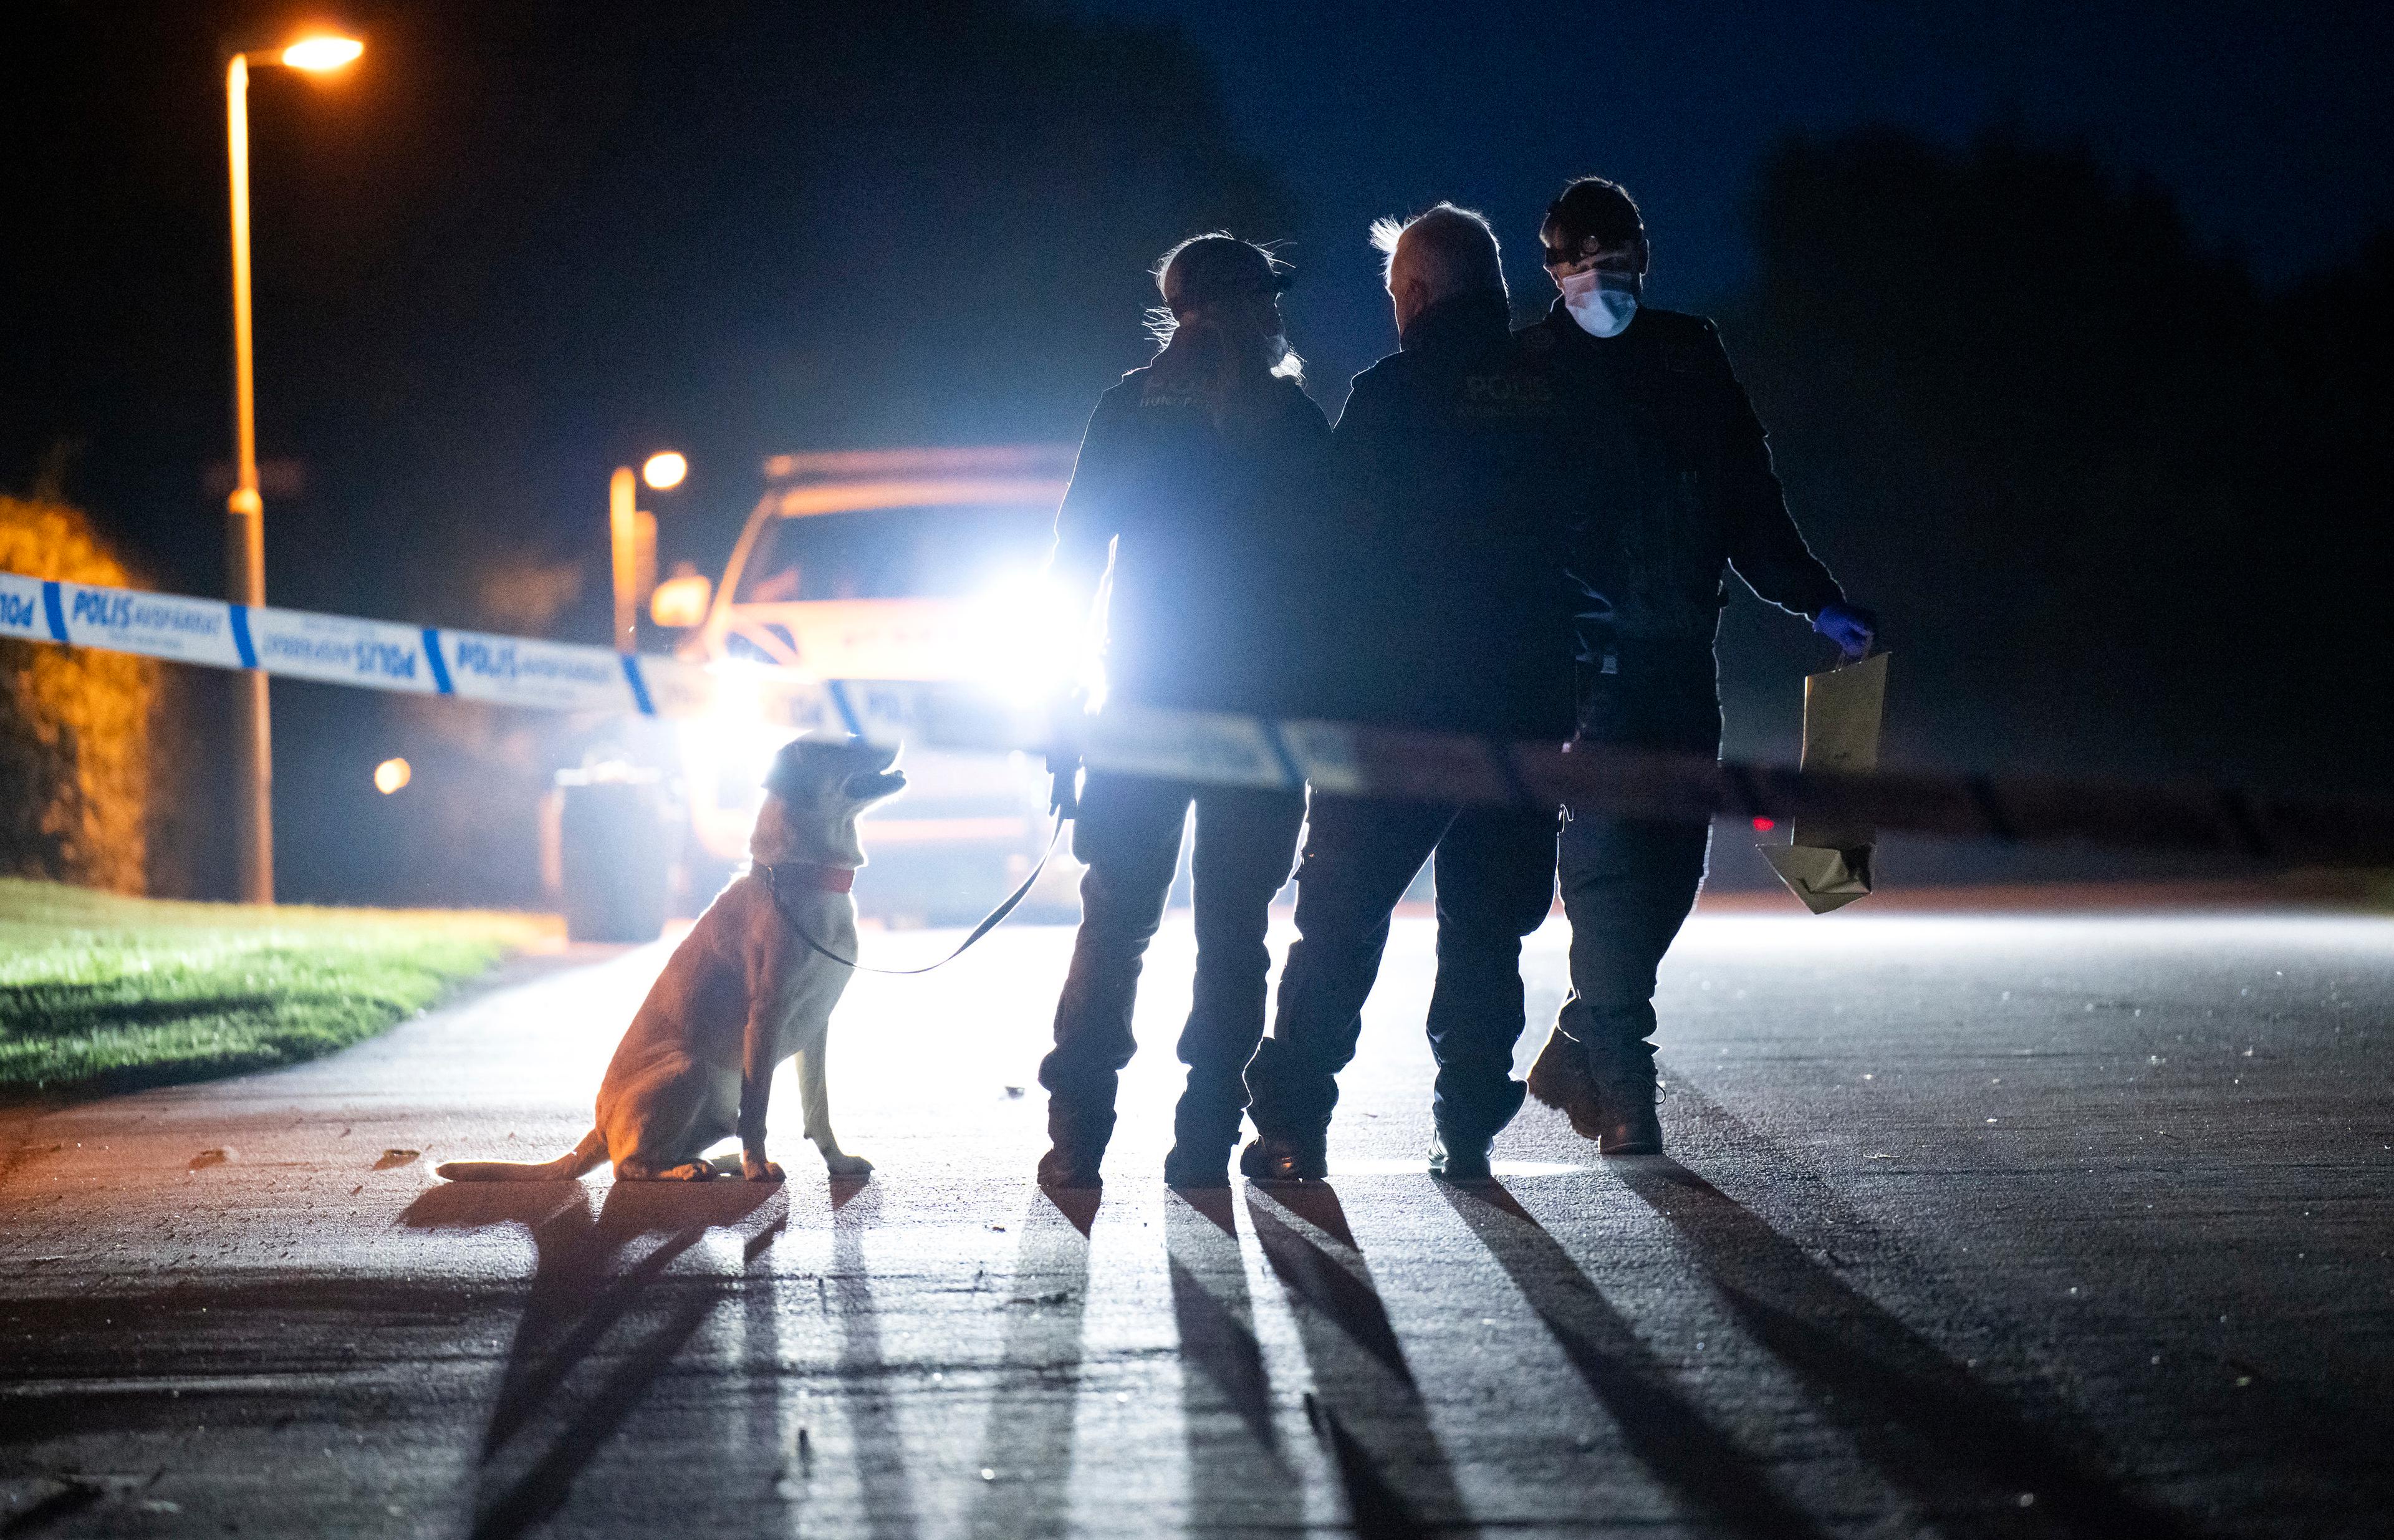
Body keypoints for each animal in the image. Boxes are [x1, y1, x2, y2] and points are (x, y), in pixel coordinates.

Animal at [438, 733, 905, 1183]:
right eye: (838, 746)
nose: (895, 736)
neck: (800, 876)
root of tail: (599, 1128)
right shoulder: (766, 1019)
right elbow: (758, 1110)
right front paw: (758, 1168)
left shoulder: (816, 1026)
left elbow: (817, 1107)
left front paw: (838, 1162)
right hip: (690, 1067)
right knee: (627, 1166)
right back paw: (696, 1169)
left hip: (718, 1102)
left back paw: (717, 1162)